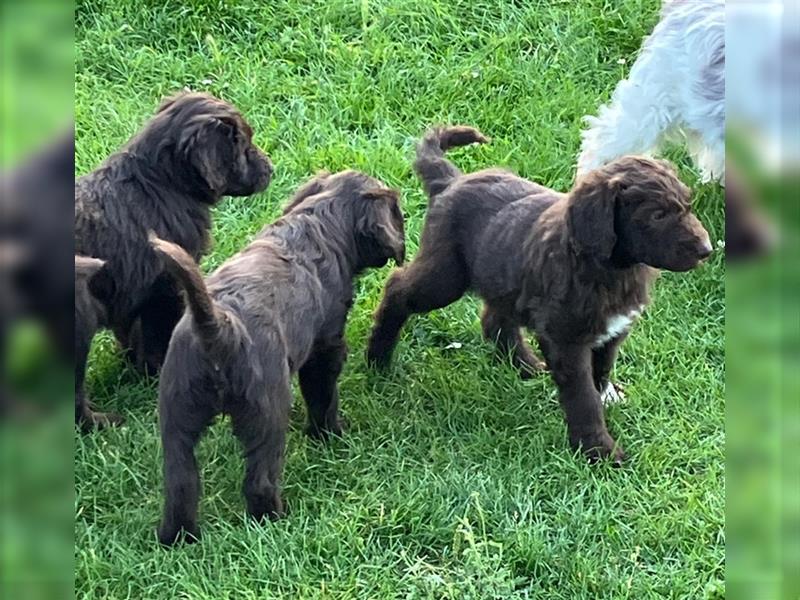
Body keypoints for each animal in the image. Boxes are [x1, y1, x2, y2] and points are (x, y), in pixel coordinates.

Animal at [76, 91, 276, 432]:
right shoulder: (166, 289)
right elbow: (159, 336)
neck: (161, 182)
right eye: (243, 143)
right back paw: (103, 422)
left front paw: (135, 368)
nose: (271, 169)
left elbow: (132, 333)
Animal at [149, 171, 404, 548]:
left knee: (181, 483)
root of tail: (219, 326)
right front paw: (329, 434)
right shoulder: (324, 348)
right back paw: (273, 520)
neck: (321, 221)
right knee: (260, 480)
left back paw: (178, 538)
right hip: (268, 410)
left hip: (176, 414)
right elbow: (323, 396)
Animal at [368, 126, 712, 464]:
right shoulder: (566, 339)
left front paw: (606, 401)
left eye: (687, 205)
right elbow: (583, 397)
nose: (706, 250)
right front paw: (598, 451)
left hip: (502, 274)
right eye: (657, 215)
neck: (608, 268)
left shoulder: (613, 329)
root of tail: (451, 181)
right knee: (397, 287)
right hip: (444, 275)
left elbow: (601, 370)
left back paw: (526, 365)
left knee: (494, 318)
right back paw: (378, 358)